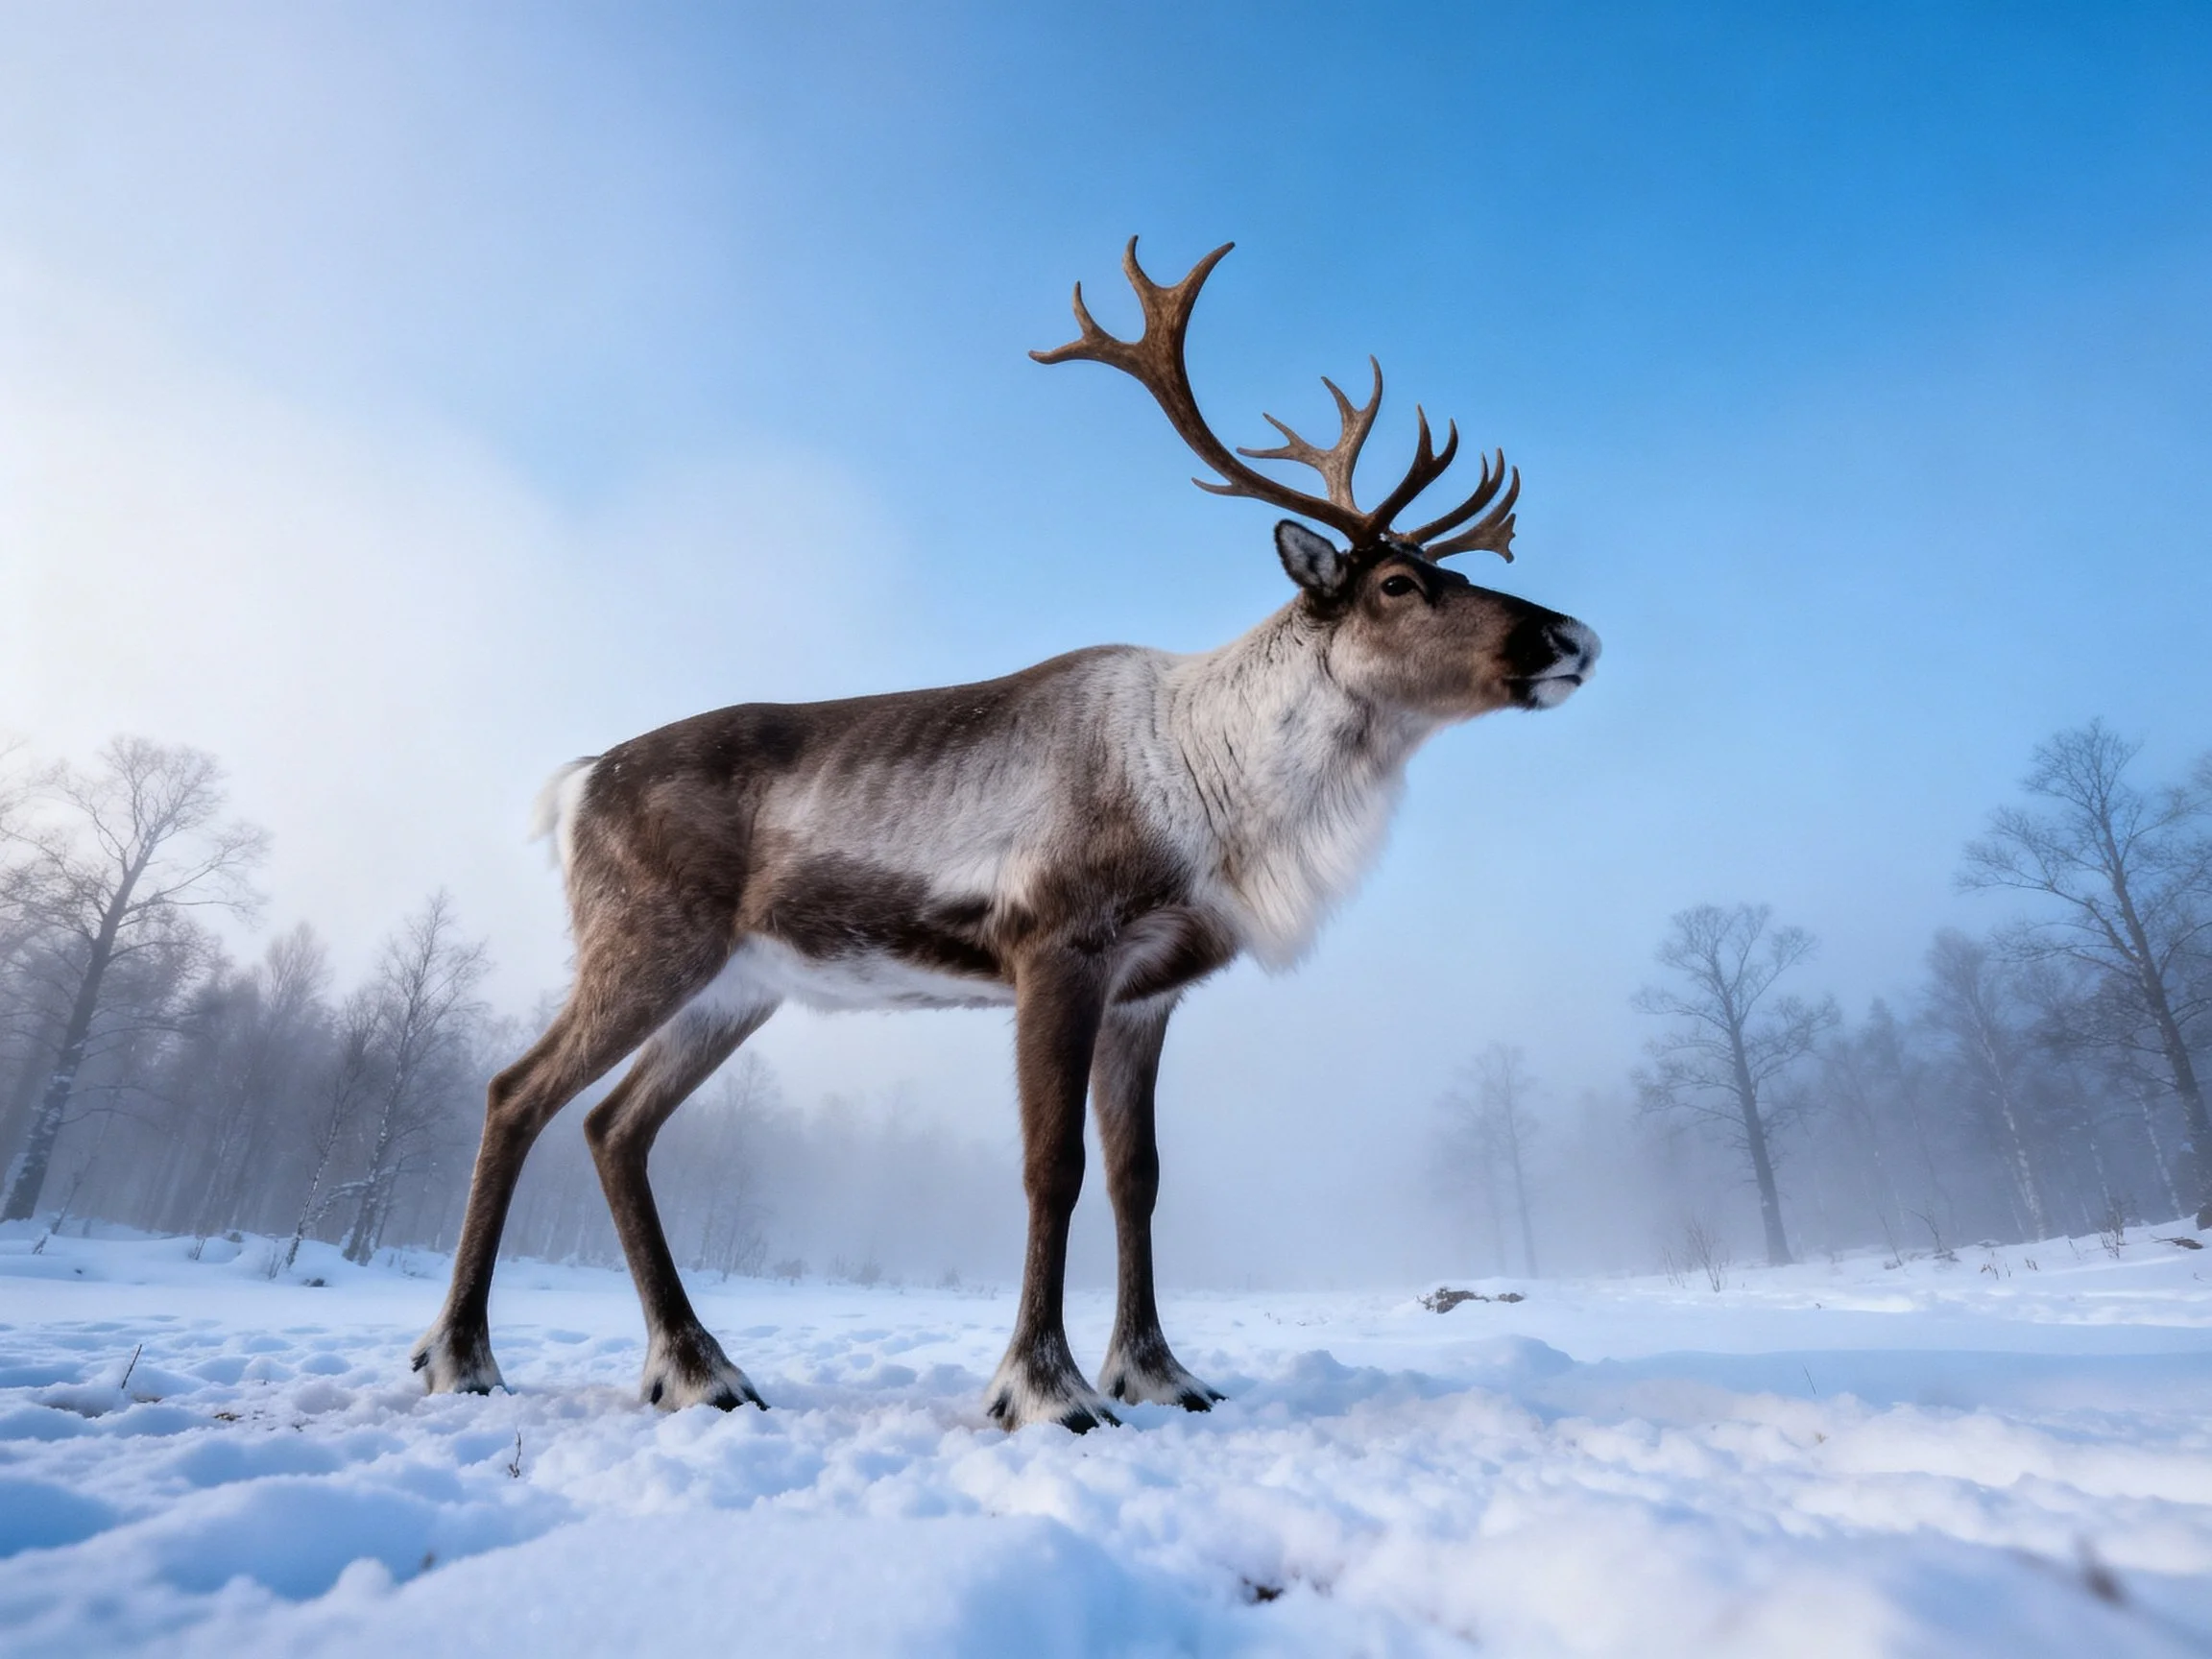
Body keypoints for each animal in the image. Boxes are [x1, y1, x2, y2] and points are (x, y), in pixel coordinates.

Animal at [413, 239, 1599, 1431]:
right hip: (649, 943)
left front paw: (1159, 1373)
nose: (1573, 636)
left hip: (738, 988)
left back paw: (699, 1368)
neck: (1218, 791)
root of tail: (575, 784)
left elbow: (1139, 1178)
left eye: (1457, 571)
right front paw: (1045, 1386)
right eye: (1399, 582)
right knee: (517, 1093)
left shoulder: (1149, 991)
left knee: (615, 1127)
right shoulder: (1054, 949)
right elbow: (1052, 1167)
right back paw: (464, 1356)